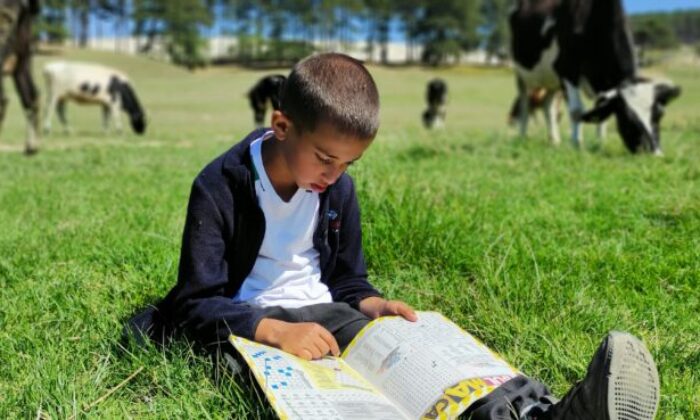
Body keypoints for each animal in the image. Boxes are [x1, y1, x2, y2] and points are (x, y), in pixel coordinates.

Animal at [512, 0, 680, 154]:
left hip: (552, 81)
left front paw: (600, 142)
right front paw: (577, 144)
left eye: (659, 114)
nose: (655, 154)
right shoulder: (566, 69)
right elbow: (576, 111)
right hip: (521, 74)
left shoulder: (601, 79)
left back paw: (554, 141)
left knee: (548, 105)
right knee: (524, 104)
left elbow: (601, 110)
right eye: (627, 120)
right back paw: (522, 137)